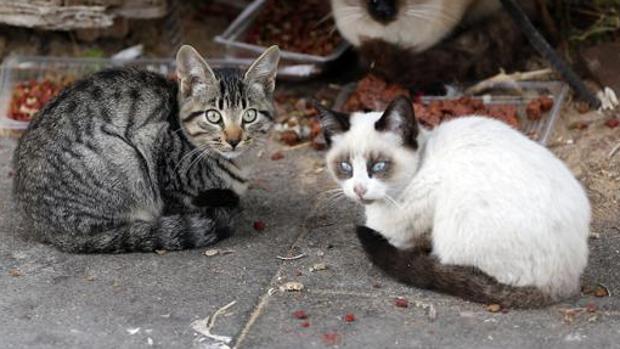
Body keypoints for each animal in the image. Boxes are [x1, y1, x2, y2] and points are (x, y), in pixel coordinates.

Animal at [13, 44, 280, 254]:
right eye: (213, 116)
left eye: (249, 115)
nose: (234, 139)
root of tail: (40, 224)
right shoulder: (157, 150)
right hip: (124, 158)